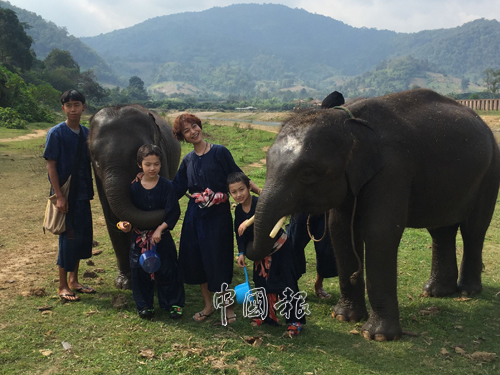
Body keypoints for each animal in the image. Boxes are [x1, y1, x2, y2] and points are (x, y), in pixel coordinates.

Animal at [89, 106, 181, 290]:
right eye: (94, 157)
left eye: (136, 155)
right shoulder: (98, 177)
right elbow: (111, 216)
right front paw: (124, 283)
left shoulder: (162, 156)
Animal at [252, 89, 500, 342]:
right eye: (268, 163)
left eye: (308, 172)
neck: (348, 122)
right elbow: (339, 229)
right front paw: (343, 317)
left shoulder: (393, 168)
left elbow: (380, 233)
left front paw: (377, 336)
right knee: (441, 229)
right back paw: (435, 292)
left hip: (490, 171)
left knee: (474, 229)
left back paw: (468, 291)